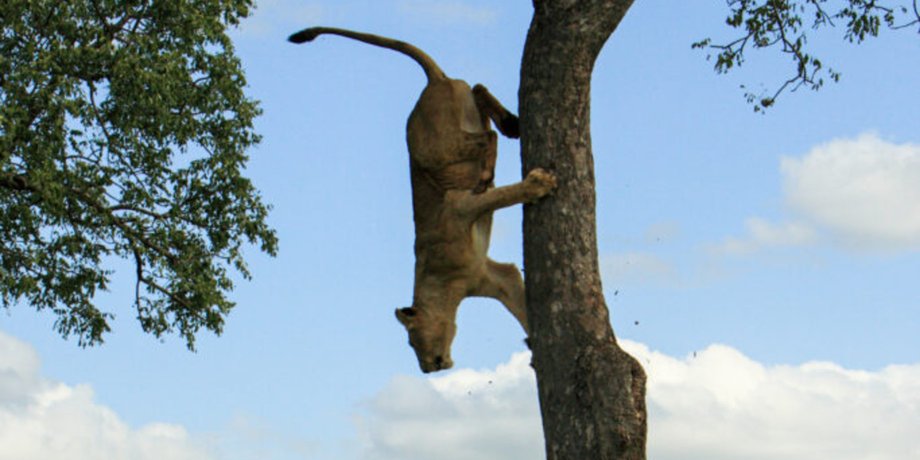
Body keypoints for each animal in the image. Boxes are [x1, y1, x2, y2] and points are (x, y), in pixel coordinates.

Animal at [289, 27, 556, 373]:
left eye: (412, 341)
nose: (427, 368)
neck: (445, 286)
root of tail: (434, 81)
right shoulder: (494, 277)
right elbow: (521, 305)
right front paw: (535, 344)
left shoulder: (459, 208)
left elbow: (502, 195)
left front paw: (540, 184)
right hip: (461, 121)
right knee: (478, 91)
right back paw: (511, 124)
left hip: (438, 148)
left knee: (486, 139)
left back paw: (491, 163)